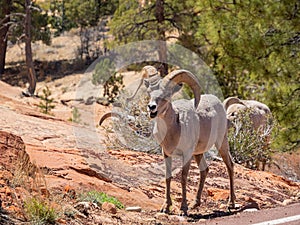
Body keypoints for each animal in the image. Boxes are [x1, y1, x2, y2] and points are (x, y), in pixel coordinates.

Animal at [146, 69, 236, 215]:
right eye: (149, 93)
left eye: (167, 94)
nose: (151, 107)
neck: (174, 129)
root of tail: (219, 103)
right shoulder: (166, 153)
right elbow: (167, 177)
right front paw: (165, 207)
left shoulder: (187, 154)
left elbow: (183, 178)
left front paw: (183, 209)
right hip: (198, 153)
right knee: (204, 170)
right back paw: (195, 203)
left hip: (221, 143)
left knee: (230, 166)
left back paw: (231, 203)